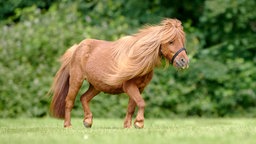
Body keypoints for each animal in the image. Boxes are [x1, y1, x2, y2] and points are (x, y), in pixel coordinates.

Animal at [50, 18, 190, 128]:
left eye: (182, 40)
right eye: (171, 41)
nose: (184, 61)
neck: (138, 58)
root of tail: (77, 47)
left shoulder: (139, 88)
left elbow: (131, 107)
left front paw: (128, 126)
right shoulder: (130, 86)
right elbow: (141, 103)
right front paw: (139, 123)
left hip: (96, 86)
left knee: (83, 98)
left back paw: (88, 121)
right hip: (76, 81)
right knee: (69, 101)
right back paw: (68, 125)